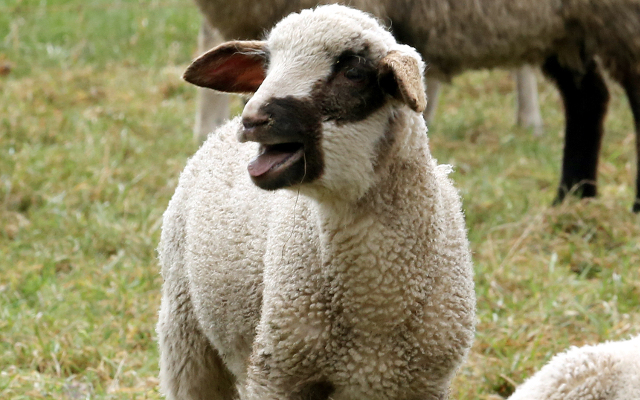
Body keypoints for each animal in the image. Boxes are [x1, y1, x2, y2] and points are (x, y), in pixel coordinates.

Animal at [157, 5, 476, 400]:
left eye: (353, 72)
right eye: (267, 66)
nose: (253, 120)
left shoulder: (424, 384)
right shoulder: (278, 375)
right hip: (185, 332)